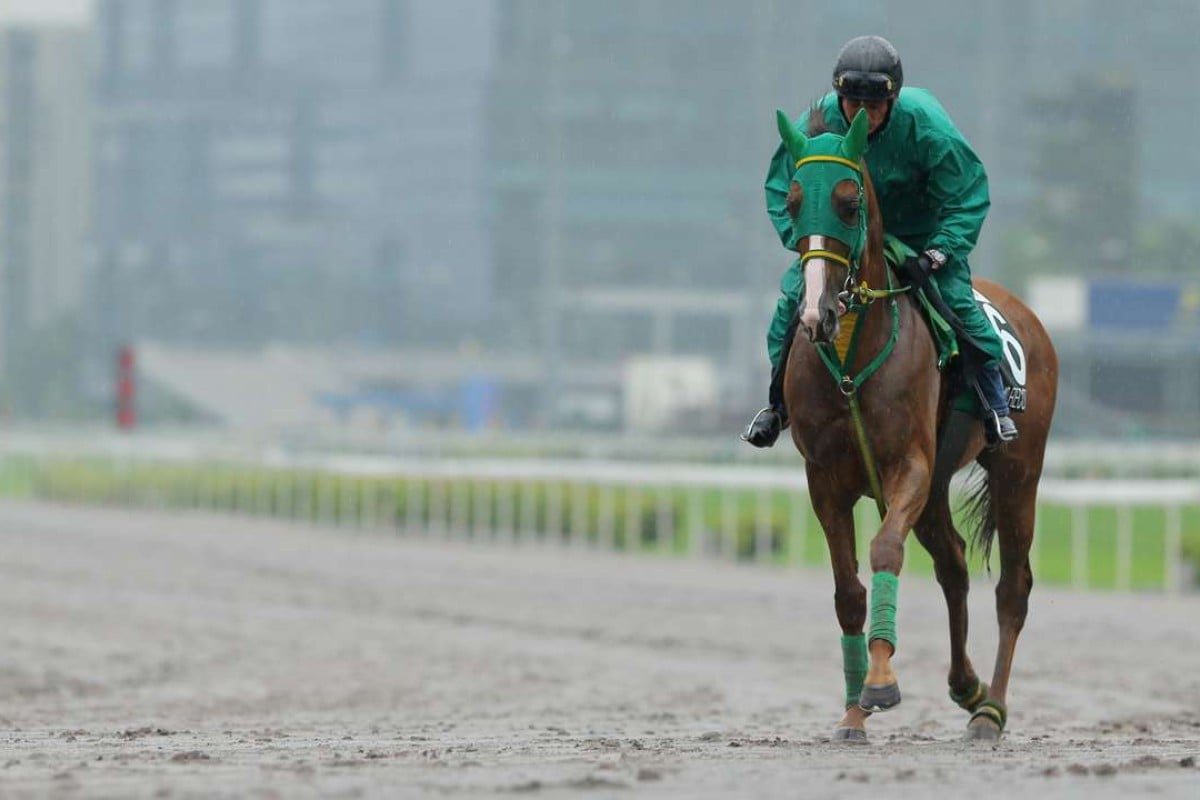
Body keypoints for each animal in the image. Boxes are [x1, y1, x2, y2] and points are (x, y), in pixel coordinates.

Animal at [772, 107, 1056, 743]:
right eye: (795, 200)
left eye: (849, 200)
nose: (816, 313)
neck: (851, 360)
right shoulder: (825, 479)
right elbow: (848, 591)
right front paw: (853, 711)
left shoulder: (910, 467)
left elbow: (884, 551)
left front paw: (880, 683)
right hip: (937, 490)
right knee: (953, 564)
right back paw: (965, 685)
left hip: (1017, 469)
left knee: (1013, 586)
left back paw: (990, 710)